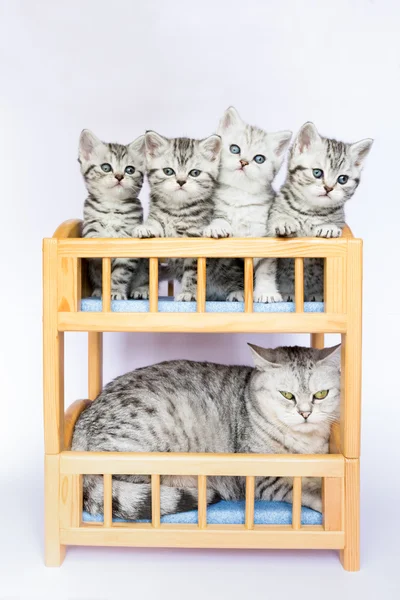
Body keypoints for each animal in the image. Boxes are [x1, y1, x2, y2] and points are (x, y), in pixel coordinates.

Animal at [79, 130, 148, 300]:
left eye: (129, 170)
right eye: (106, 167)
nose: (119, 176)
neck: (112, 205)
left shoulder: (128, 242)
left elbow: (120, 275)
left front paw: (116, 292)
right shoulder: (89, 223)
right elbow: (91, 235)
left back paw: (141, 290)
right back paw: (98, 291)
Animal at [203, 106, 290, 302]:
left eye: (259, 159)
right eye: (235, 149)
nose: (243, 162)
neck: (239, 195)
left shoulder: (263, 237)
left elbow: (266, 270)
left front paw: (266, 292)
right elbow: (219, 218)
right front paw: (218, 226)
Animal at [268, 122, 374, 300]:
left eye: (342, 179)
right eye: (317, 172)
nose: (329, 188)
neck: (311, 211)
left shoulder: (340, 221)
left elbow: (335, 225)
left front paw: (328, 227)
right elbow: (275, 221)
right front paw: (283, 222)